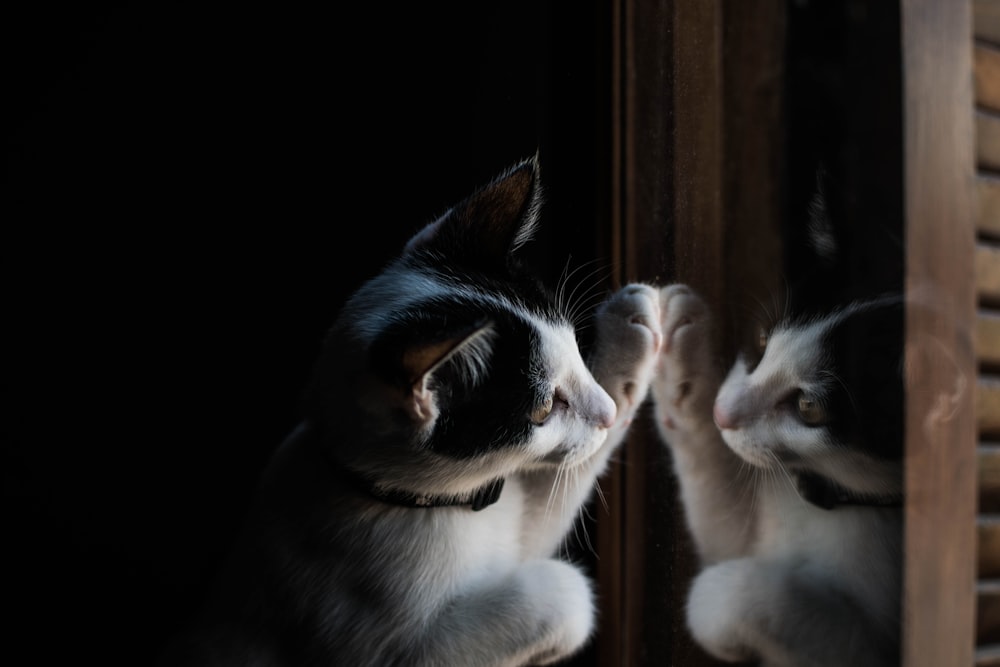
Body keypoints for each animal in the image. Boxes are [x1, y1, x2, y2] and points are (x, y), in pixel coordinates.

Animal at [162, 157, 664, 667]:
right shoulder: (388, 649)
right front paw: (558, 618)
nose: (604, 413)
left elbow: (547, 507)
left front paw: (629, 339)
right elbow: (554, 594)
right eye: (544, 409)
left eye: (576, 348)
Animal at [652, 190, 904, 664]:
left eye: (809, 407)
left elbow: (747, 594)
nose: (722, 414)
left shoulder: (880, 646)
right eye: (763, 339)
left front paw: (717, 620)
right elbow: (725, 536)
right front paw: (684, 366)